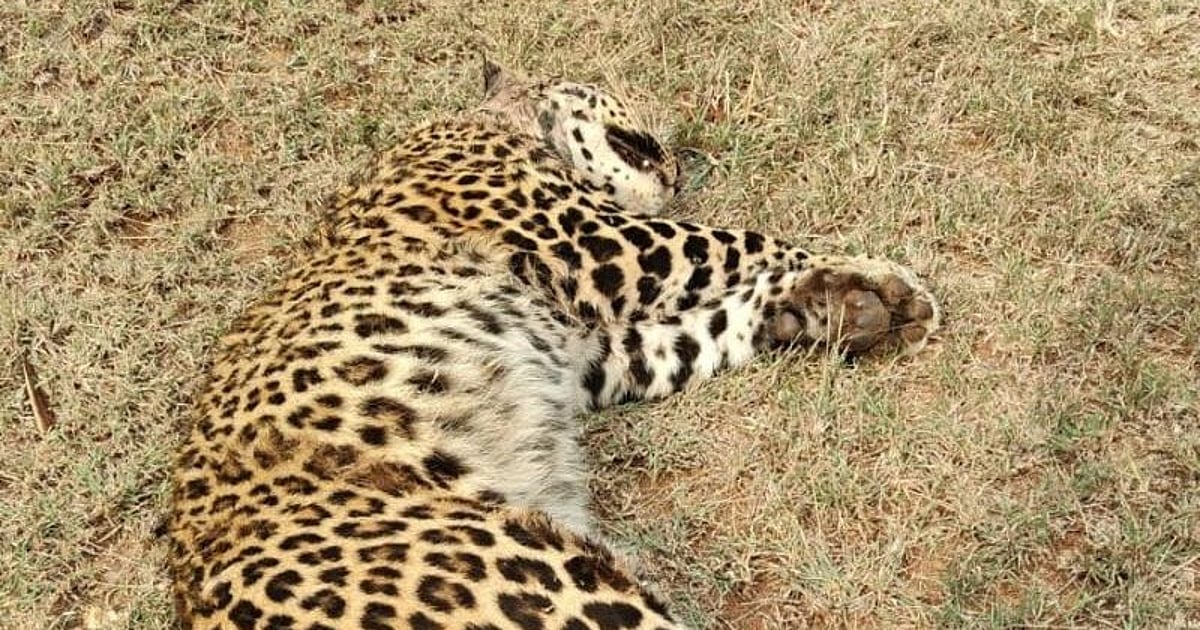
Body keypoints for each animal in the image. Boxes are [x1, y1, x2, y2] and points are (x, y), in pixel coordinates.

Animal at [167, 59, 942, 630]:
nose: (679, 166)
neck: (494, 122)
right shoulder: (599, 243)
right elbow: (734, 241)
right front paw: (863, 270)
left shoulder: (590, 354)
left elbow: (698, 332)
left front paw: (844, 305)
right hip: (541, 581)